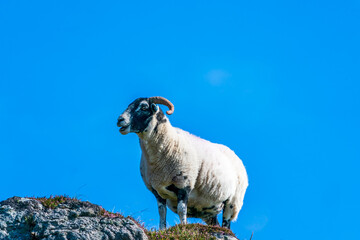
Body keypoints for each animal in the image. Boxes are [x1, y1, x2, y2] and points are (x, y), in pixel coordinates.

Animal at [117, 96, 248, 230]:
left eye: (143, 107)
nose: (120, 120)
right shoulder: (156, 190)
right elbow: (162, 212)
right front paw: (162, 230)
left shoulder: (184, 184)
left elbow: (181, 210)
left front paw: (183, 227)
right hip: (209, 209)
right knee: (215, 223)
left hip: (233, 202)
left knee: (226, 223)